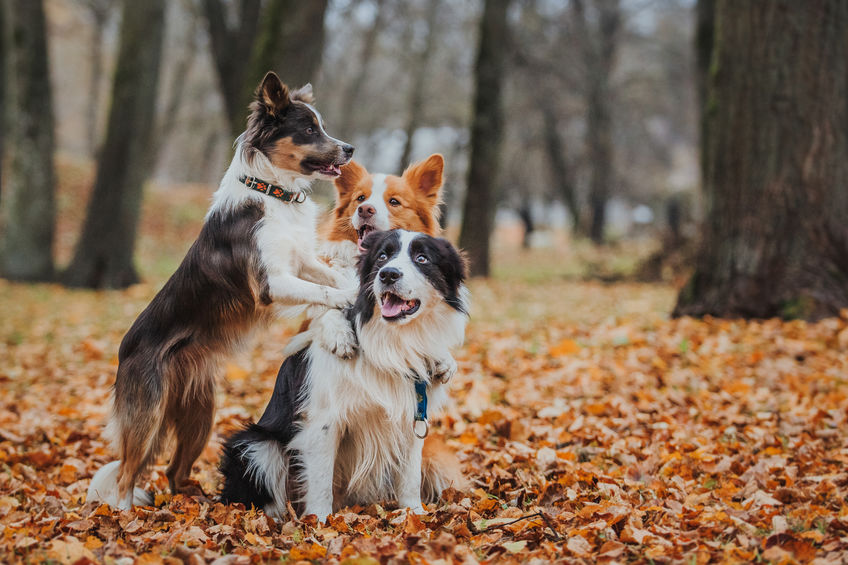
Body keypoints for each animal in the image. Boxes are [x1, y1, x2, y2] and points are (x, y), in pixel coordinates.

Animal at [88, 72, 360, 508]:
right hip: (148, 413)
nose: (349, 149)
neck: (270, 191)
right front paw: (349, 300)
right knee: (127, 474)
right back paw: (126, 513)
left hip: (200, 414)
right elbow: (323, 293)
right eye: (308, 129)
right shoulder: (270, 283)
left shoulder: (300, 261)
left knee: (173, 470)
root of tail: (123, 351)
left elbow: (329, 280)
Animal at [219, 230, 470, 520]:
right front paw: (319, 520)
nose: (388, 274)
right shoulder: (324, 419)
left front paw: (413, 513)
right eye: (382, 256)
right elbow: (320, 480)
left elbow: (410, 475)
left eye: (422, 258)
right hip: (256, 445)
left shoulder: (413, 414)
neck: (391, 343)